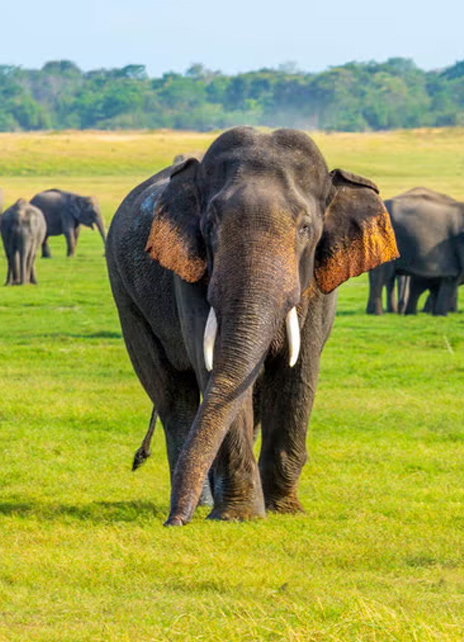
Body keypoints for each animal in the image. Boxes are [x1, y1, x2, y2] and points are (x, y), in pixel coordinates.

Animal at [106, 126, 398, 524]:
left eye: (305, 228)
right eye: (210, 226)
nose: (172, 522)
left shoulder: (319, 285)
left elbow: (299, 372)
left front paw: (285, 511)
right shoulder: (190, 274)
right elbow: (213, 368)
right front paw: (240, 516)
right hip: (125, 296)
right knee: (172, 393)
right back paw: (202, 504)